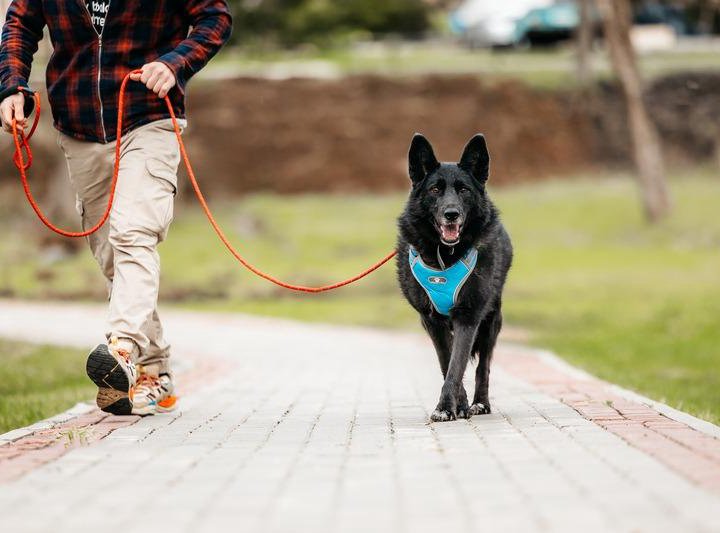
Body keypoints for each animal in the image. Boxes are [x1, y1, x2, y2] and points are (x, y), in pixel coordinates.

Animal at [396, 133, 516, 420]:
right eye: (435, 190)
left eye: (463, 190)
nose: (451, 214)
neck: (445, 254)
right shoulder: (431, 320)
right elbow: (447, 360)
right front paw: (456, 404)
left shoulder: (469, 315)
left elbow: (457, 363)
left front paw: (447, 406)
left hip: (491, 319)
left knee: (483, 365)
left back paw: (481, 403)